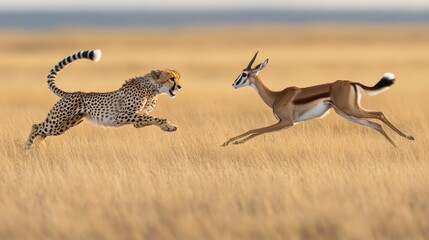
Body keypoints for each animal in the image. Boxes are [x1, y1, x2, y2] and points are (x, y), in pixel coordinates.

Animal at [25, 49, 181, 149]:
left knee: (42, 132)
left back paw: (36, 146)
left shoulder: (137, 120)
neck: (152, 89)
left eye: (178, 78)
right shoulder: (122, 116)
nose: (179, 86)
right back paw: (27, 146)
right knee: (36, 126)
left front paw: (168, 127)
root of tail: (70, 93)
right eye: (171, 78)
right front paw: (167, 124)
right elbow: (154, 117)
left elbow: (150, 118)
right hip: (57, 122)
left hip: (67, 124)